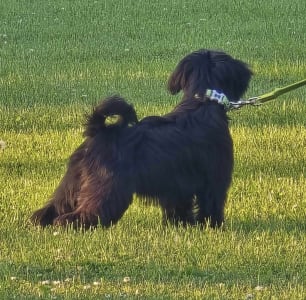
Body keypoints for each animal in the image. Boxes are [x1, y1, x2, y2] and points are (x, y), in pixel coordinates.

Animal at [31, 49, 252, 229]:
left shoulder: (177, 186)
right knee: (85, 213)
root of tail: (99, 131)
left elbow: (179, 207)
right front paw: (214, 226)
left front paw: (181, 226)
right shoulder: (215, 179)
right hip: (107, 189)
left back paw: (41, 222)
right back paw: (69, 225)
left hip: (73, 182)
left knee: (53, 207)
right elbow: (211, 205)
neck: (202, 103)